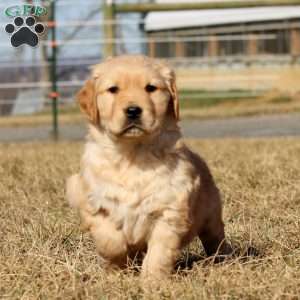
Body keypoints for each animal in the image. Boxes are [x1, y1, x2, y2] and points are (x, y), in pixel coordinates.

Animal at [67, 55, 232, 280]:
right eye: (113, 89)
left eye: (151, 88)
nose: (133, 110)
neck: (132, 155)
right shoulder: (92, 202)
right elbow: (110, 241)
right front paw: (117, 267)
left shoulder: (169, 211)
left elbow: (159, 252)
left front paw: (152, 280)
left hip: (211, 215)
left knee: (216, 237)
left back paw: (224, 259)